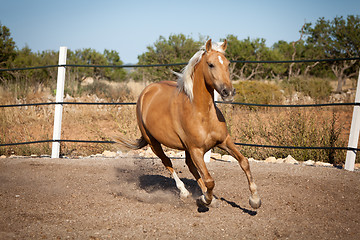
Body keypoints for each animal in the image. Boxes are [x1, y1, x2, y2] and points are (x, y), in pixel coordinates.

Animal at [116, 39, 260, 208]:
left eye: (228, 64)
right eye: (211, 64)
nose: (228, 92)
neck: (201, 113)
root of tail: (147, 91)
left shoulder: (224, 141)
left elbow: (244, 162)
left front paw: (255, 200)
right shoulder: (196, 150)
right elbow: (209, 180)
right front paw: (205, 199)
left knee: (190, 166)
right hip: (153, 142)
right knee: (167, 162)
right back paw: (185, 192)